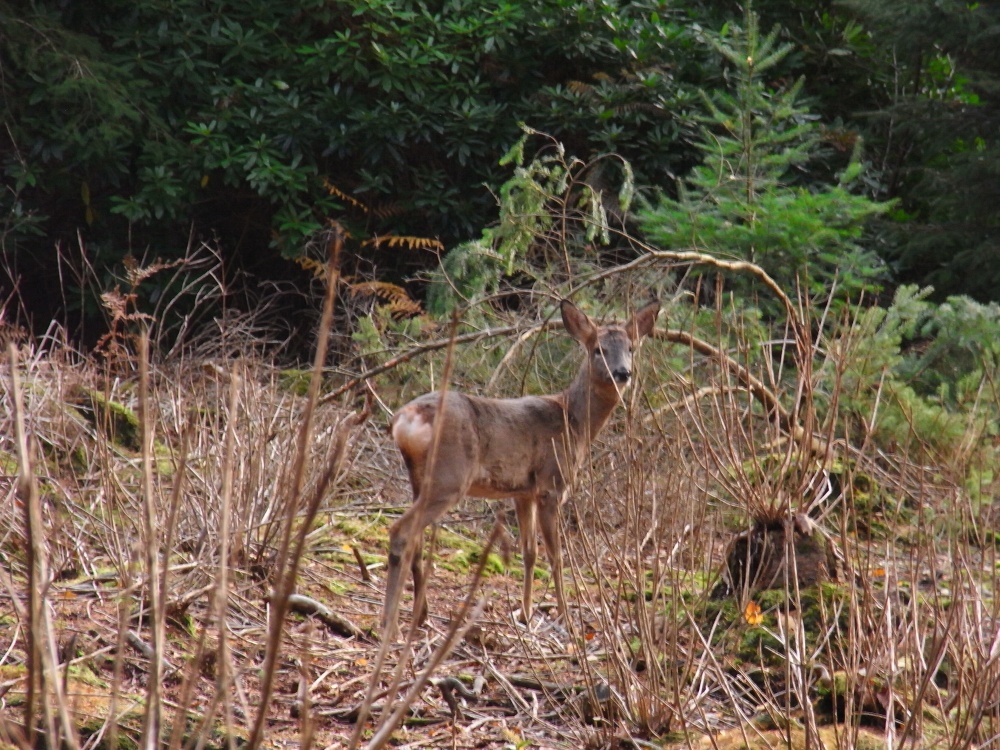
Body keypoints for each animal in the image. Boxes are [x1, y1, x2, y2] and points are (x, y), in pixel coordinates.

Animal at [381, 299, 660, 641]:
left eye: (631, 348)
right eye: (598, 349)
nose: (622, 372)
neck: (574, 421)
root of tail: (405, 419)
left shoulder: (523, 491)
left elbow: (529, 553)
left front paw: (525, 614)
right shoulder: (551, 484)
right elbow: (556, 556)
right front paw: (567, 620)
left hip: (419, 478)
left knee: (415, 539)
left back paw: (420, 616)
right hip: (450, 477)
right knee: (401, 531)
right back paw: (391, 625)